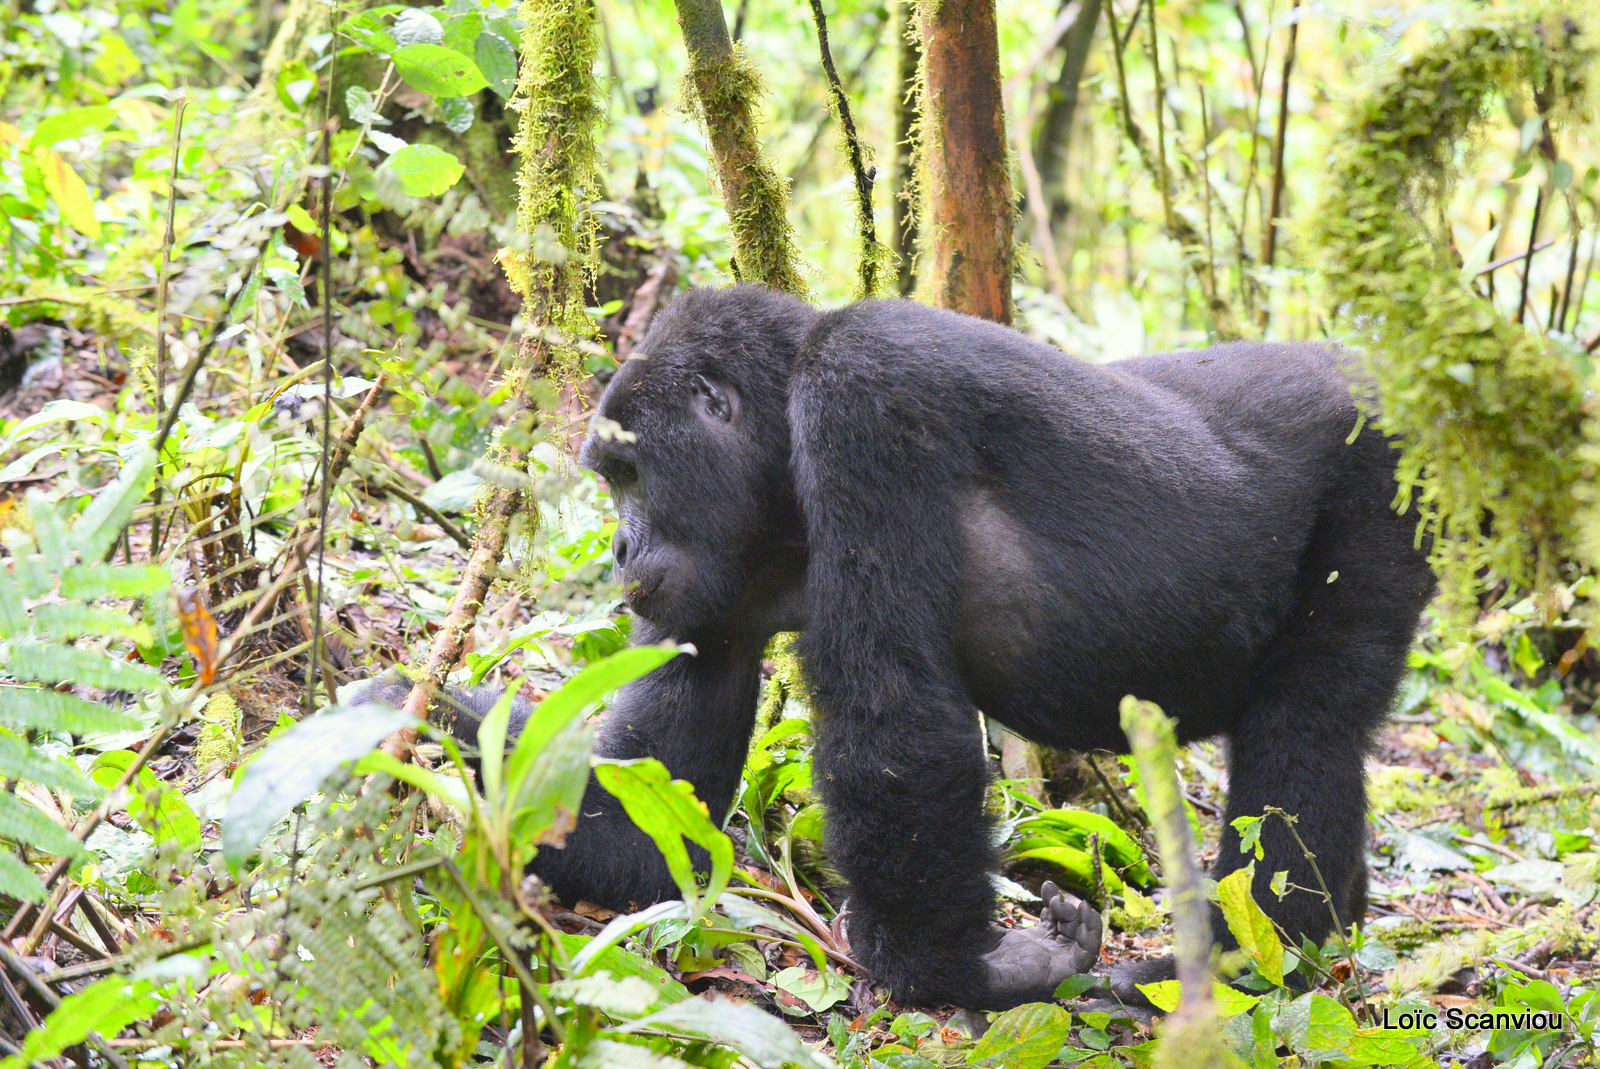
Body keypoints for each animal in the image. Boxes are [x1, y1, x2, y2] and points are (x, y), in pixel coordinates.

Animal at [356, 286, 1433, 1011]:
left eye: (627, 474)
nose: (619, 549)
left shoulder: (864, 393)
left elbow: (897, 722)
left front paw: (961, 972)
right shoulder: (721, 582)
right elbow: (641, 817)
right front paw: (400, 722)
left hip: (1383, 472)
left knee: (1307, 728)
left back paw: (1259, 945)